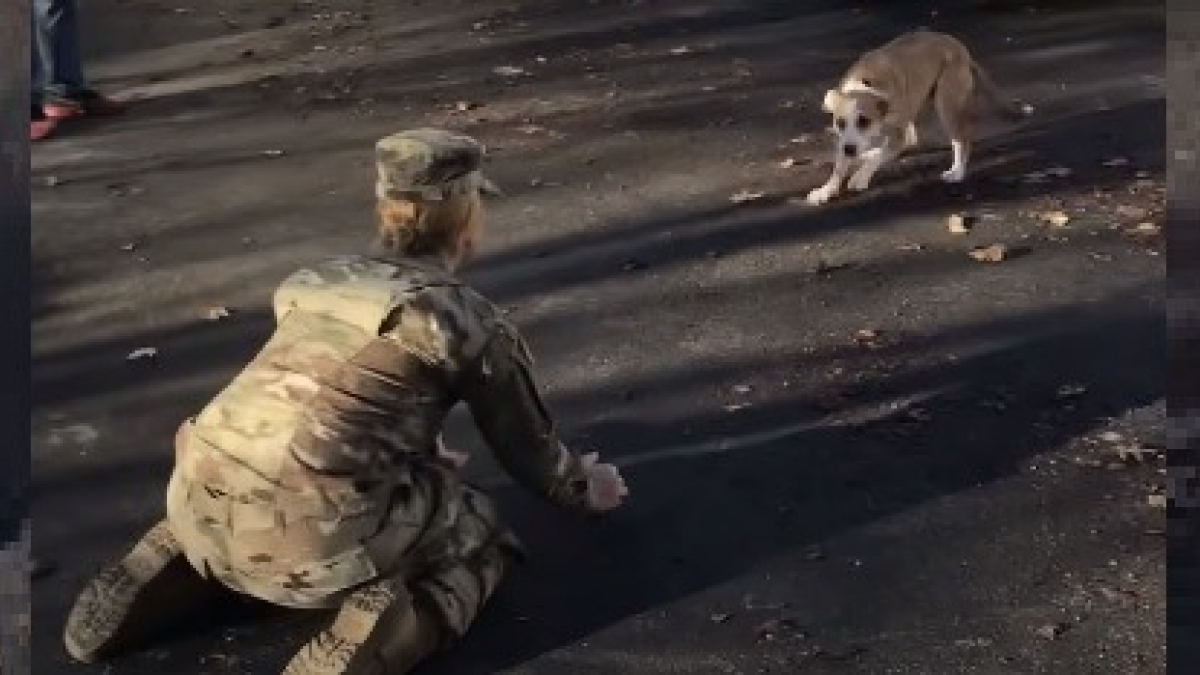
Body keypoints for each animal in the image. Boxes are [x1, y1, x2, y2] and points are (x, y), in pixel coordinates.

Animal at [806, 30, 1032, 205]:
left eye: (864, 121)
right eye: (839, 123)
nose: (850, 150)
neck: (865, 85)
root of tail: (958, 46)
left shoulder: (895, 135)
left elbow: (881, 155)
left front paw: (861, 176)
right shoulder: (845, 140)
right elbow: (840, 166)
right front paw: (826, 189)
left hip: (947, 104)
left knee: (961, 139)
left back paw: (957, 172)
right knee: (912, 140)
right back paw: (868, 153)